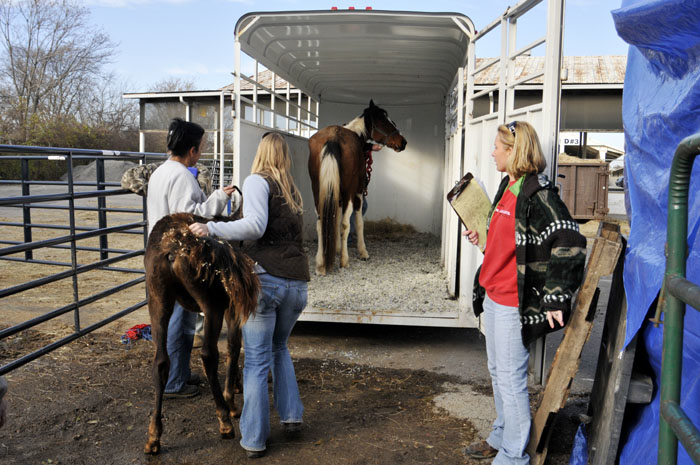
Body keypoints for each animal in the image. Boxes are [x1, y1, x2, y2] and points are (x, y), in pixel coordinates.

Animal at [143, 212, 260, 454]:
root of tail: (172, 251)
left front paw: (237, 385)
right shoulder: (232, 305)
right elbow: (234, 346)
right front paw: (232, 400)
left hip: (158, 296)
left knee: (160, 360)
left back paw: (153, 436)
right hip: (210, 301)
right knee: (208, 354)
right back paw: (224, 420)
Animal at [308, 100, 407, 275]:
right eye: (384, 121)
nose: (403, 142)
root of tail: (333, 137)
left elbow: (335, 218)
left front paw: (336, 248)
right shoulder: (359, 192)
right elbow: (358, 222)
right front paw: (362, 252)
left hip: (317, 189)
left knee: (320, 223)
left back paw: (320, 264)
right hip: (349, 192)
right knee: (346, 223)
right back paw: (344, 261)